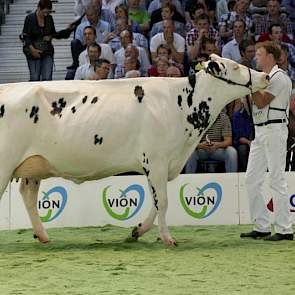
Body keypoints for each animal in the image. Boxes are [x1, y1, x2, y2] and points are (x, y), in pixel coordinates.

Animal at [0, 55, 270, 245]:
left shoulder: (159, 165)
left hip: (34, 166)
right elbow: (163, 202)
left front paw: (137, 231)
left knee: (28, 196)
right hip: (5, 164)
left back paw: (42, 236)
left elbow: (156, 202)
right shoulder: (157, 161)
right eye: (234, 67)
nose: (266, 76)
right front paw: (167, 238)